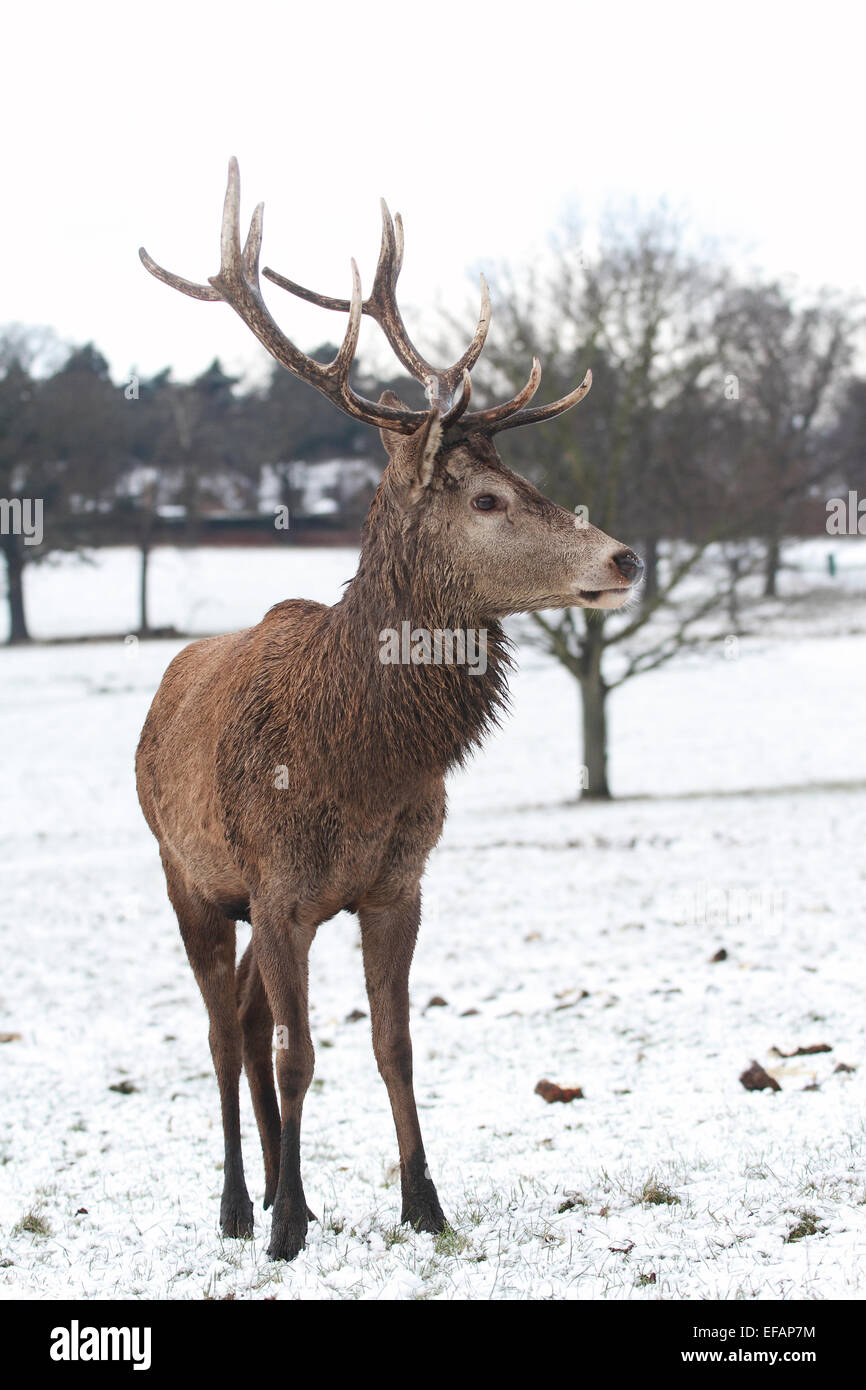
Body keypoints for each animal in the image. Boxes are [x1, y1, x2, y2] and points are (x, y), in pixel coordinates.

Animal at [136, 159, 644, 1262]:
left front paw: (421, 1202)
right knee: (220, 1030)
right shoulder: (278, 883)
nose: (625, 557)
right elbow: (300, 1054)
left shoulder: (395, 884)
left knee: (248, 1020)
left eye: (523, 474)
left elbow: (393, 1042)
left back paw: (283, 1188)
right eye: (485, 499)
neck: (358, 761)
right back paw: (239, 1204)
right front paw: (287, 1229)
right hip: (188, 876)